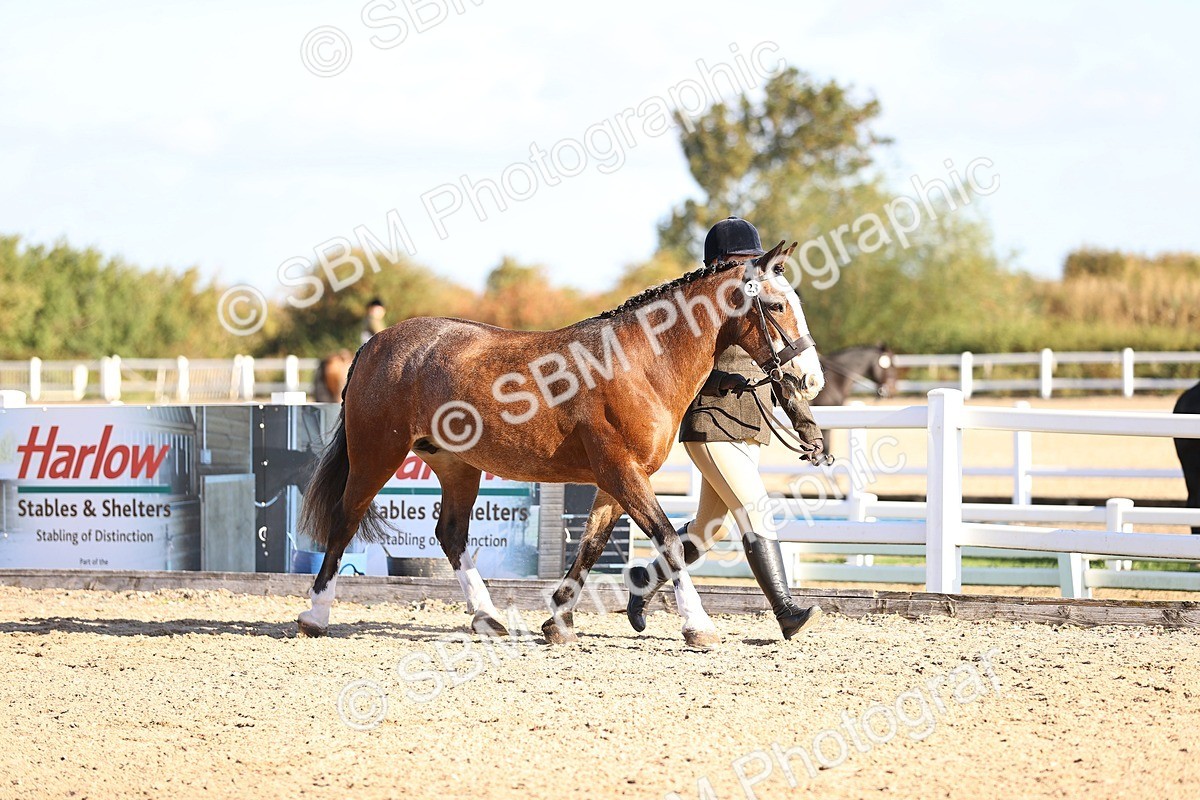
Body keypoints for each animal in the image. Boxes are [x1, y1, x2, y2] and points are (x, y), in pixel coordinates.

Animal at [297, 240, 825, 648]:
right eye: (778, 306)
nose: (810, 379)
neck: (641, 363)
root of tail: (376, 344)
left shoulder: (615, 481)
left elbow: (590, 546)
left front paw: (559, 620)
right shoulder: (622, 472)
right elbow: (670, 541)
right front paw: (698, 626)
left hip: (455, 465)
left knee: (451, 535)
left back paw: (487, 618)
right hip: (376, 455)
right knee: (345, 521)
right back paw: (315, 616)